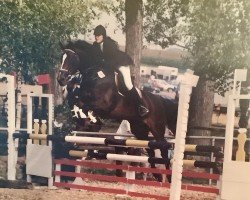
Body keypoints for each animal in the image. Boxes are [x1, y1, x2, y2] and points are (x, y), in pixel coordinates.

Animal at [56, 39, 178, 182]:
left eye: (72, 59)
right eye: (61, 58)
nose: (60, 79)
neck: (96, 76)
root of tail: (159, 100)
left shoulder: (104, 105)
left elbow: (87, 107)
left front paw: (94, 122)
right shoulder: (82, 97)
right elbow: (77, 103)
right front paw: (83, 120)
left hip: (156, 127)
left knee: (163, 148)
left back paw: (168, 177)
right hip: (140, 129)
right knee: (150, 149)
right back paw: (157, 175)